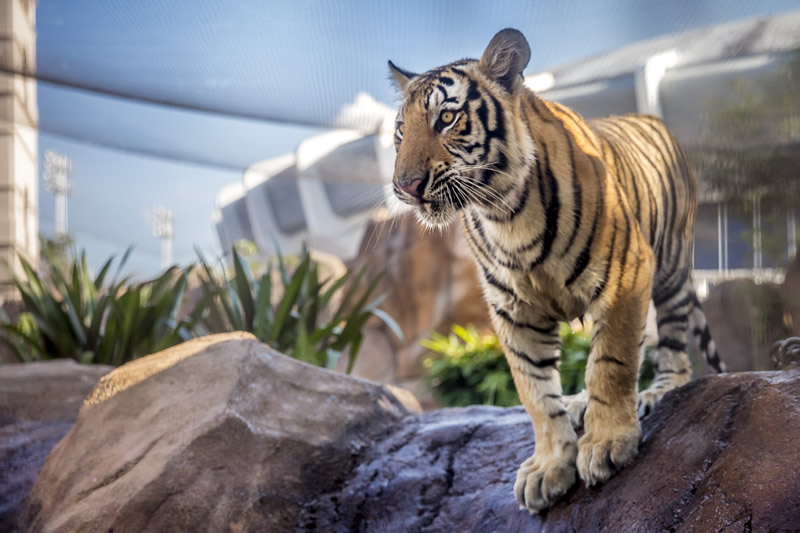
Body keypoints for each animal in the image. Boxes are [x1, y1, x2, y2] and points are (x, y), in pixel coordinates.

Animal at [388, 28, 726, 513]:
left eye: (447, 118)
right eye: (401, 131)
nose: (405, 187)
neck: (504, 214)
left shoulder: (625, 277)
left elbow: (611, 362)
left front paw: (607, 443)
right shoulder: (513, 311)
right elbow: (534, 391)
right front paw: (549, 467)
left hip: (671, 268)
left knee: (675, 349)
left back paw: (656, 391)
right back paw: (581, 402)